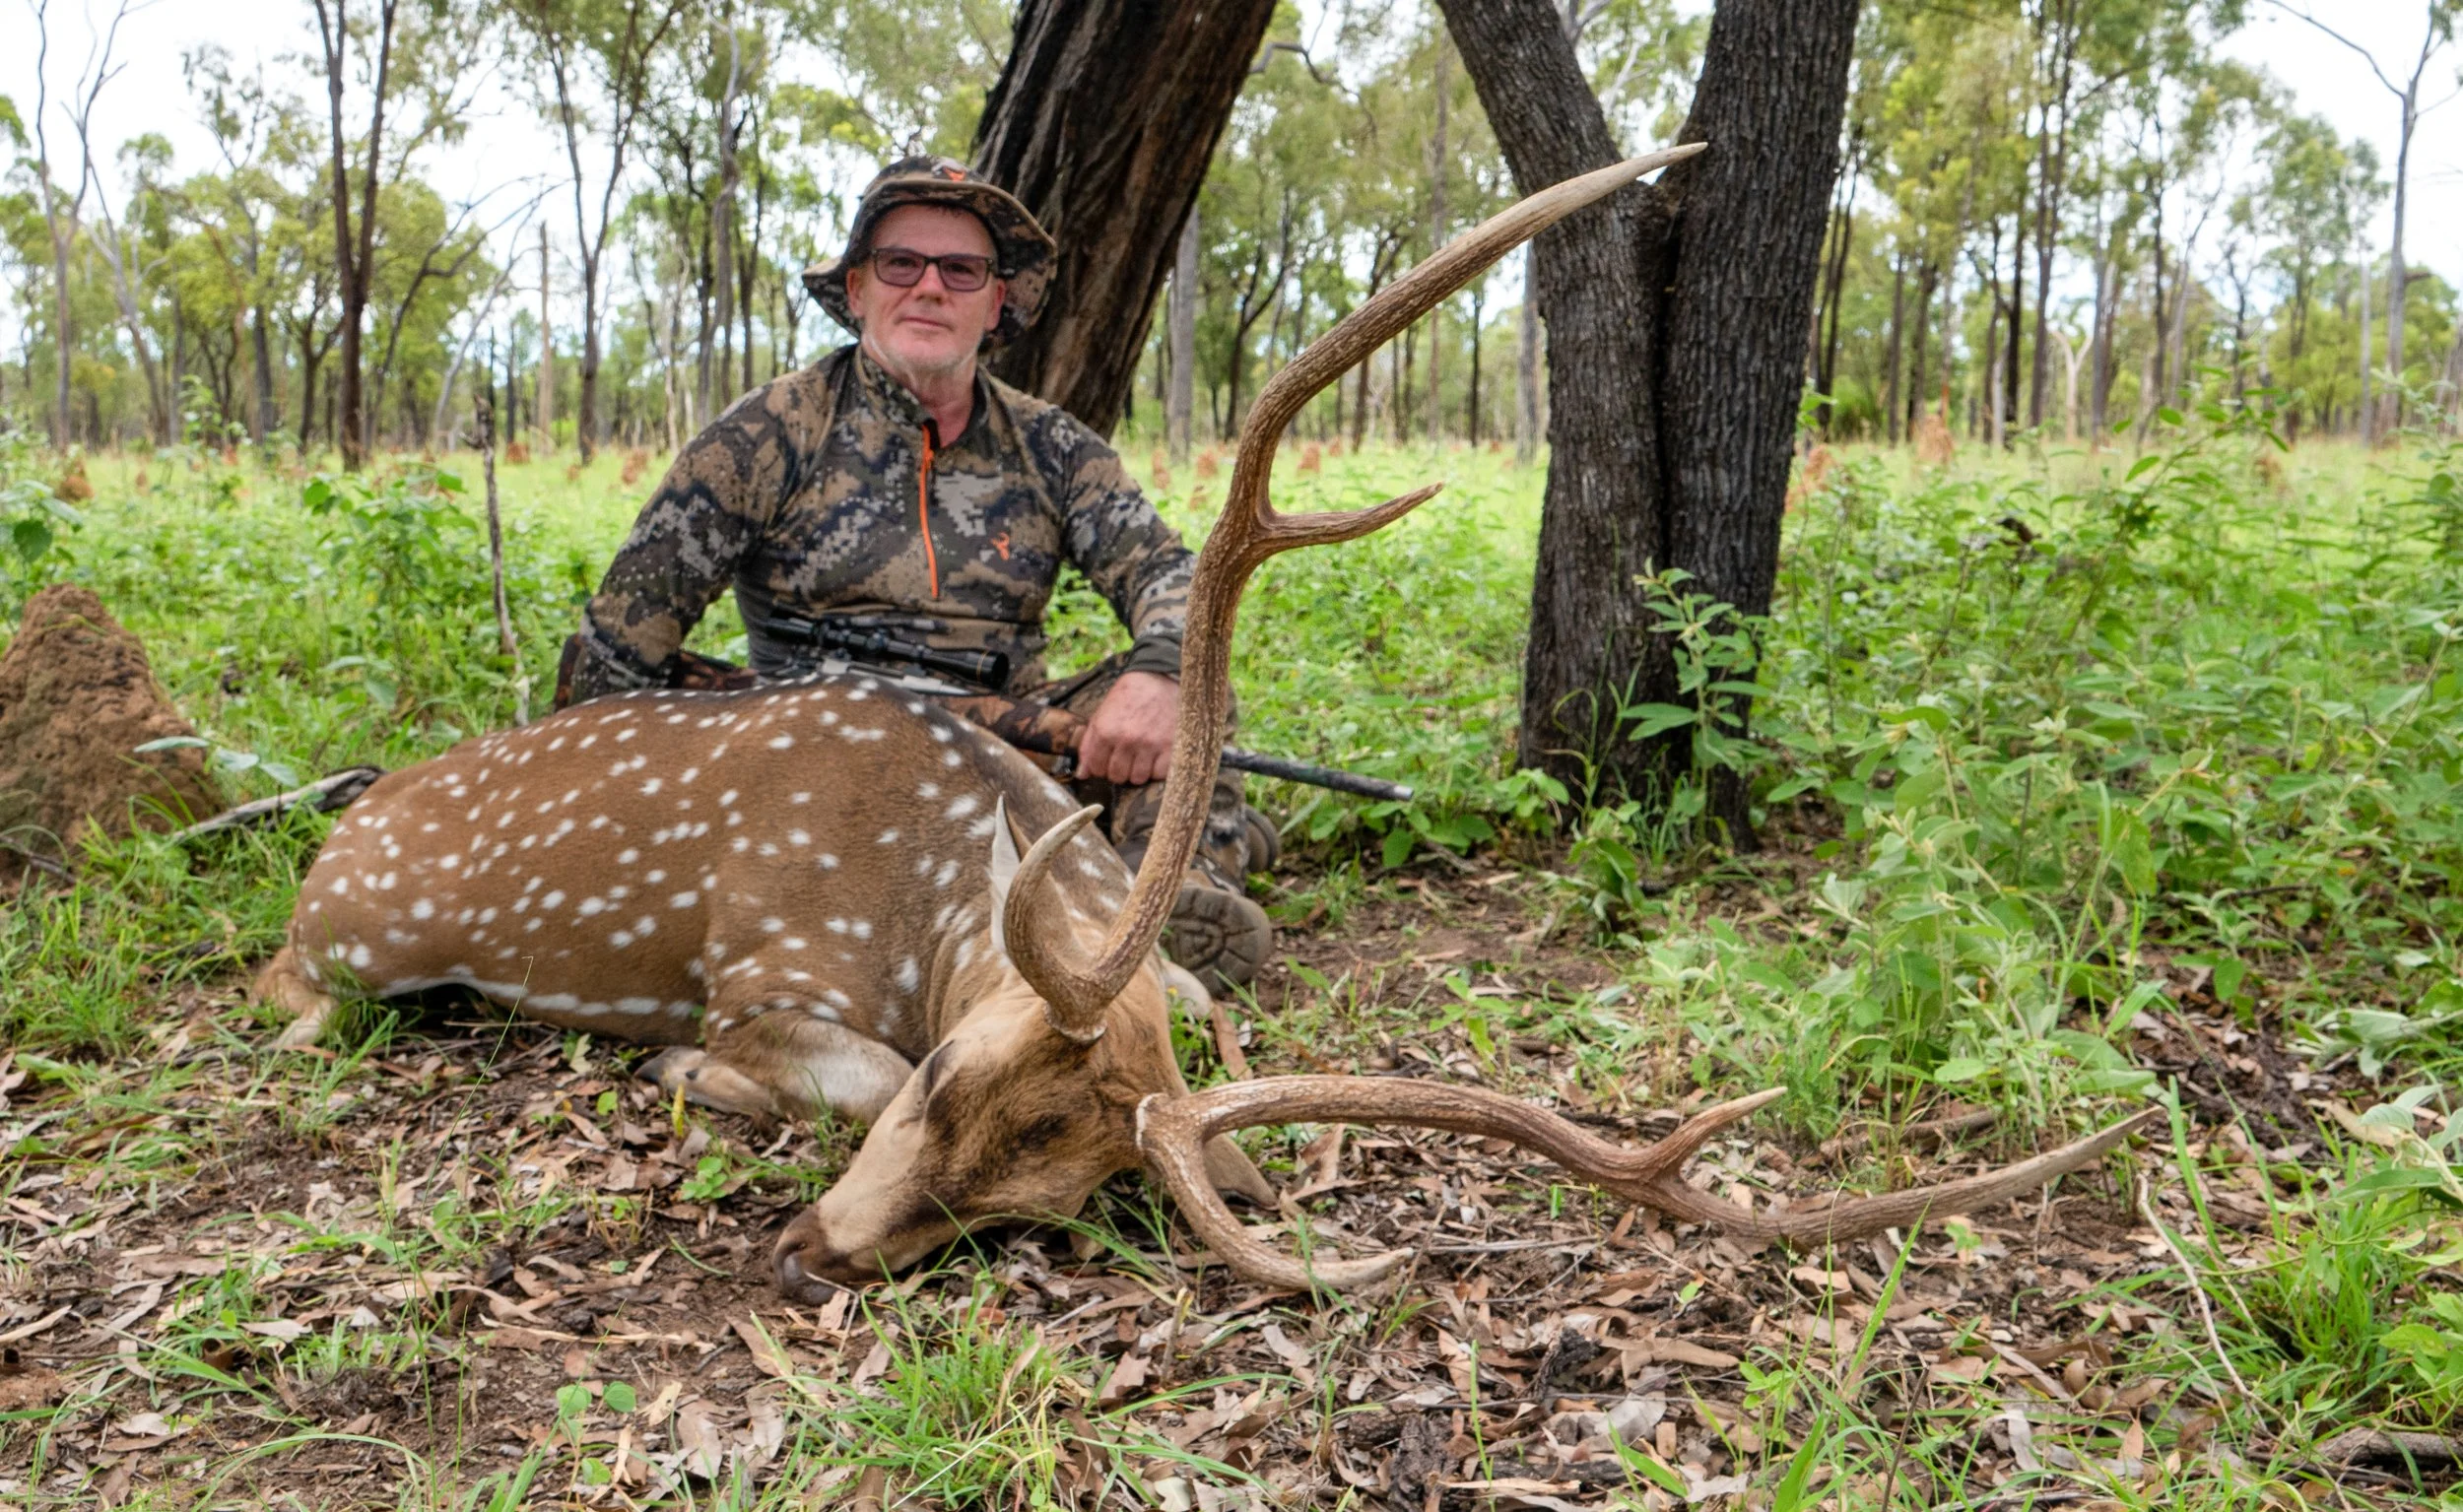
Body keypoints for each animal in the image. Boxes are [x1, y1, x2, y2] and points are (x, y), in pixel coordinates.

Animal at [257, 149, 2158, 1298]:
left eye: (1037, 1194)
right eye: (948, 1078)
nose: (813, 1251)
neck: (930, 887)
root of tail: (341, 829)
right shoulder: (768, 957)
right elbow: (788, 1056)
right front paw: (679, 1072)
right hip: (361, 932)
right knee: (294, 982)